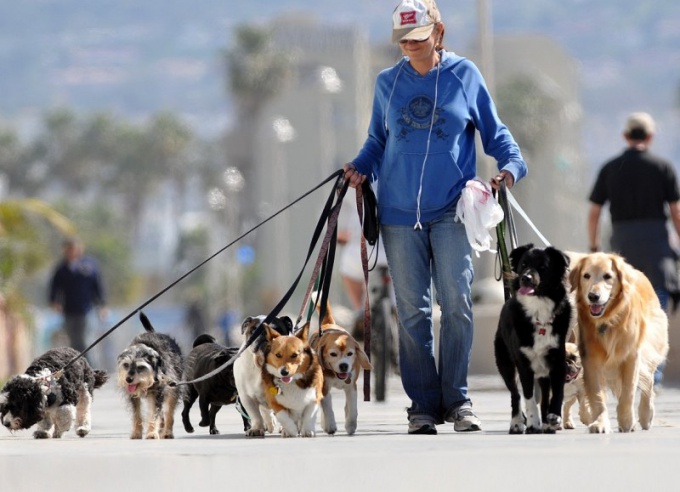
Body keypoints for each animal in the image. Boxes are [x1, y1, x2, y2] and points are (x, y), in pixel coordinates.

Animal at [310, 304, 372, 434]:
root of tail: (328, 324)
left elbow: (352, 408)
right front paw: (330, 426)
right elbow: (327, 408)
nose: (344, 366)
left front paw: (351, 425)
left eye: (350, 353)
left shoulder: (351, 387)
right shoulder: (324, 387)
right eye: (333, 354)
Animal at [494, 244, 572, 432]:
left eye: (543, 267)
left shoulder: (558, 359)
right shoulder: (523, 363)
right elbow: (528, 396)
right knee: (515, 394)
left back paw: (547, 423)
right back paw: (516, 423)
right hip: (505, 363)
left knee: (544, 395)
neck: (538, 308)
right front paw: (532, 422)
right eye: (523, 265)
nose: (525, 278)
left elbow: (557, 392)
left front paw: (554, 416)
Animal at [568, 252, 668, 432]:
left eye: (608, 276)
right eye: (586, 276)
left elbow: (628, 391)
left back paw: (645, 415)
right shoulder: (590, 358)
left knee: (648, 381)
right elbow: (597, 395)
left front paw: (627, 421)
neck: (607, 320)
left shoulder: (631, 355)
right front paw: (600, 422)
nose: (593, 297)